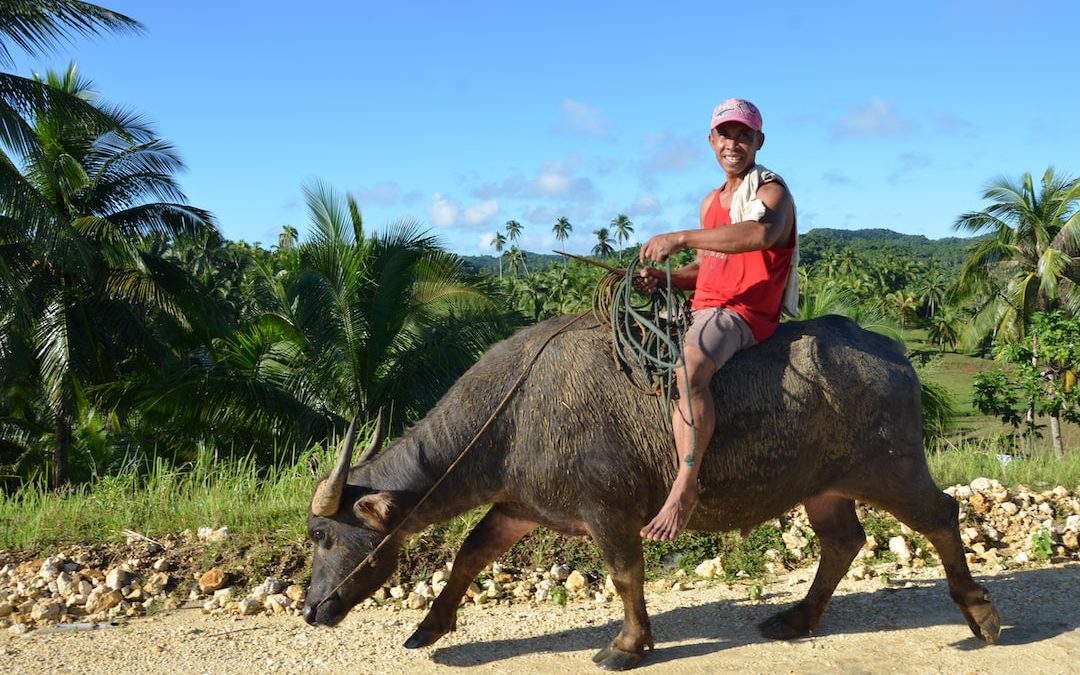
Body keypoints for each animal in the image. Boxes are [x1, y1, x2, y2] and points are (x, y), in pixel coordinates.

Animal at [300, 311, 997, 669]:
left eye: (323, 534)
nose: (310, 609)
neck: (516, 412)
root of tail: (892, 351)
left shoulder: (608, 510)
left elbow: (625, 574)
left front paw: (628, 645)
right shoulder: (519, 507)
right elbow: (470, 555)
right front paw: (428, 628)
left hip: (892, 468)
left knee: (942, 515)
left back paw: (980, 616)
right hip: (824, 486)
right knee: (843, 541)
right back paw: (798, 618)